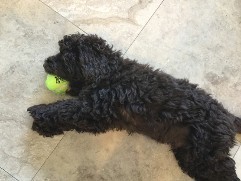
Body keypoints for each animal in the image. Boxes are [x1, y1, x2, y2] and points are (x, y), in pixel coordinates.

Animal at [27, 34, 241, 181]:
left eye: (65, 55)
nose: (46, 62)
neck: (110, 72)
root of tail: (229, 117)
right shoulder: (95, 115)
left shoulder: (93, 108)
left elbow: (65, 109)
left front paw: (39, 113)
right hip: (191, 157)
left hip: (206, 156)